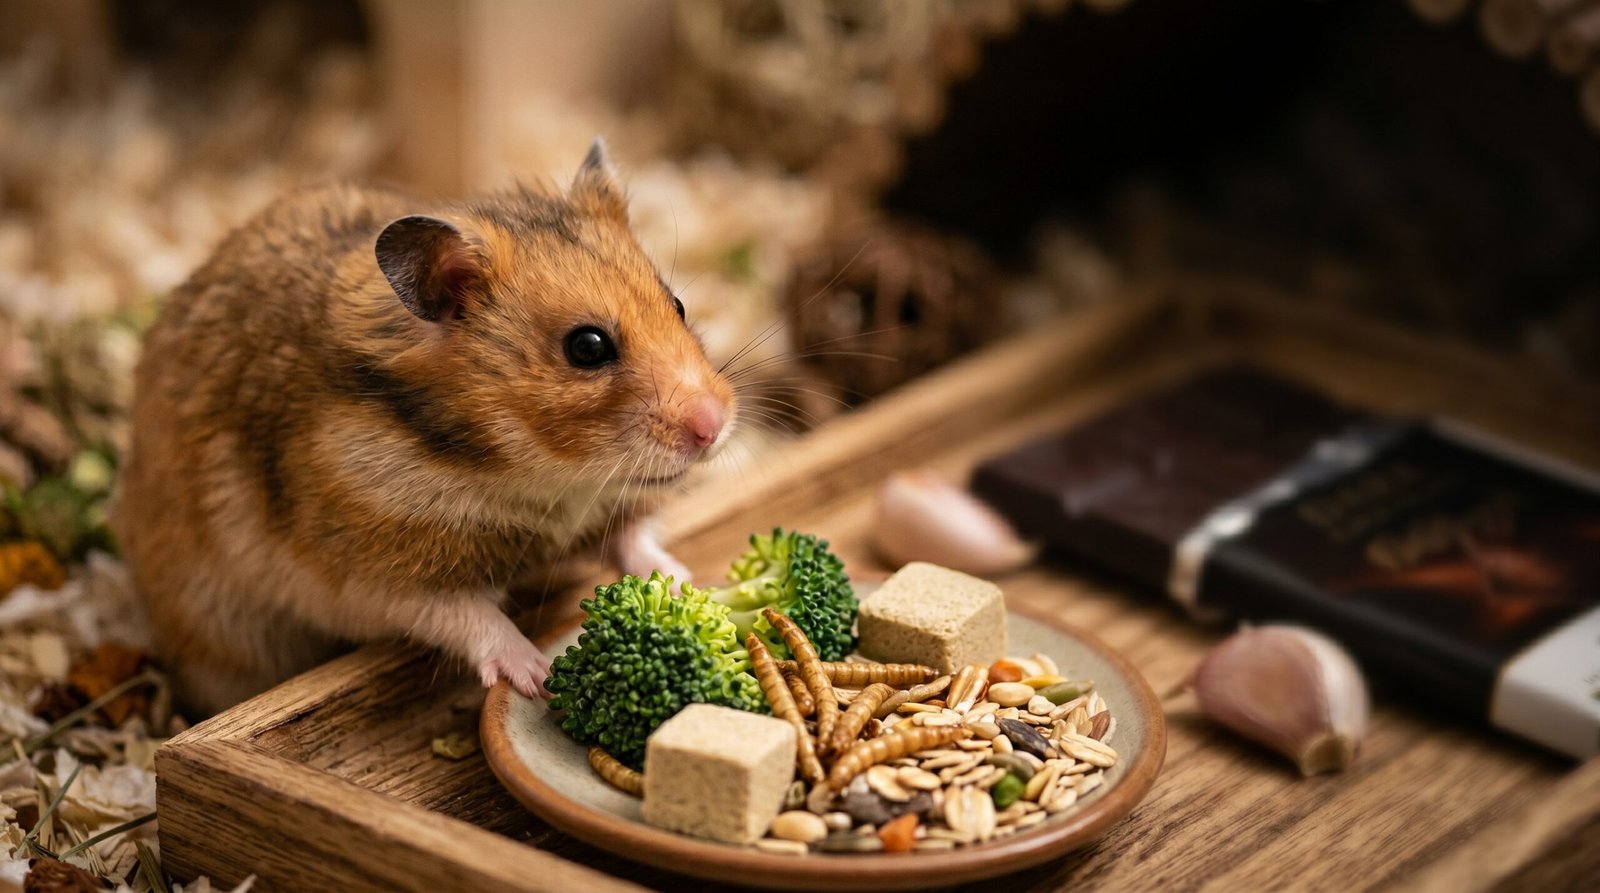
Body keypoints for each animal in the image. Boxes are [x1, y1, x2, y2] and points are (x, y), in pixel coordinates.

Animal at [112, 141, 735, 714]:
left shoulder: (613, 505)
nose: (714, 427)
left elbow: (634, 540)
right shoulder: (374, 573)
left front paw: (686, 585)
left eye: (678, 305)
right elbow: (467, 615)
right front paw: (535, 676)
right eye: (587, 347)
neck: (541, 473)